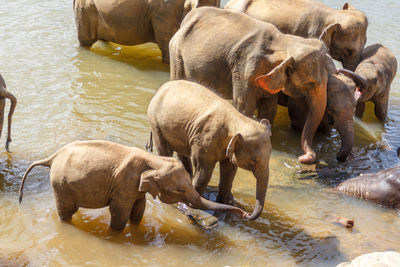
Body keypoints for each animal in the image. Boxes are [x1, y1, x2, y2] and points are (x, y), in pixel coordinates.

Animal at [18, 140, 247, 230]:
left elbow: (139, 210)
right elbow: (119, 212)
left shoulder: (135, 188)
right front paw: (117, 233)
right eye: (180, 190)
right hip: (60, 185)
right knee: (65, 212)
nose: (245, 214)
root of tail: (53, 157)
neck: (153, 160)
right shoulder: (124, 185)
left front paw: (136, 226)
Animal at [147, 80, 272, 222]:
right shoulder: (204, 141)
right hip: (155, 121)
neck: (238, 119)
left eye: (270, 155)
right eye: (253, 160)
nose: (247, 214)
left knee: (182, 154)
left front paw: (227, 201)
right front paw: (192, 204)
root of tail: (162, 87)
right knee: (164, 150)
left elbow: (229, 170)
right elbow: (204, 171)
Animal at [169, 6, 328, 165]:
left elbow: (270, 109)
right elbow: (244, 107)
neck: (283, 41)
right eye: (311, 84)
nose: (303, 158)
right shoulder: (244, 69)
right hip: (176, 54)